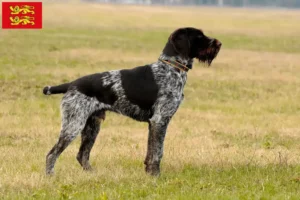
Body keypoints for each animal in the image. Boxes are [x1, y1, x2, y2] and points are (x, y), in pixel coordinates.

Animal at [43, 27, 221, 176]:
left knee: (82, 155)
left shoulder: (153, 123)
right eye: (199, 36)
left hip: (92, 126)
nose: (219, 43)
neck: (171, 68)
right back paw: (50, 176)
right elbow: (157, 152)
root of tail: (71, 84)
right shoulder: (160, 120)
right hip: (73, 124)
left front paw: (149, 173)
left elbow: (150, 152)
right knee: (52, 154)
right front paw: (155, 176)